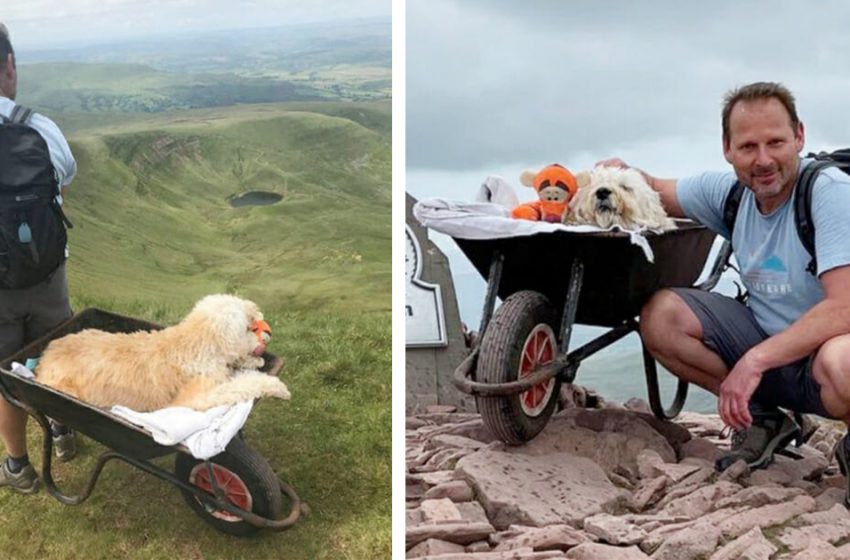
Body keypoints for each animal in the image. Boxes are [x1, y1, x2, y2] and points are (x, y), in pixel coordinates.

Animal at [35, 294, 292, 412]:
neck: (197, 343)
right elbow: (241, 385)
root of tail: (43, 356)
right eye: (250, 326)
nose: (268, 330)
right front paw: (277, 387)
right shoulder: (194, 398)